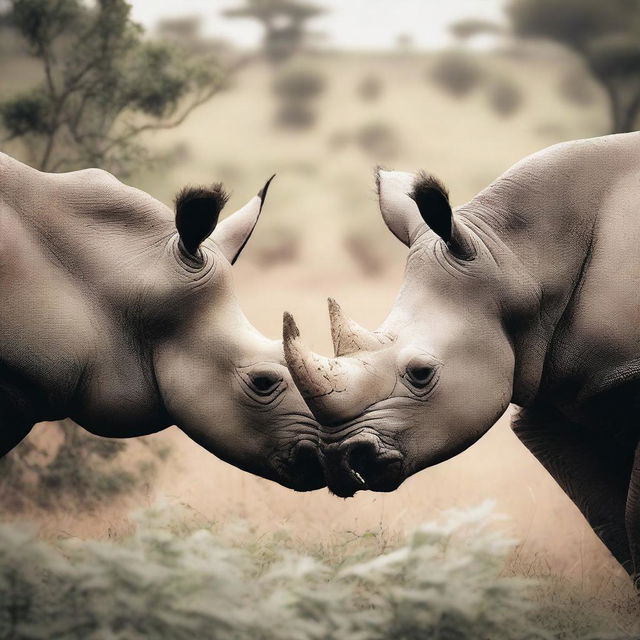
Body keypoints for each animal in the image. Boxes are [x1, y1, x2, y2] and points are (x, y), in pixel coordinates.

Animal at [284, 132, 640, 576]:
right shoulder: (564, 392)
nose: (337, 458)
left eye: (421, 373)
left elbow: (631, 514)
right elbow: (610, 518)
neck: (521, 258)